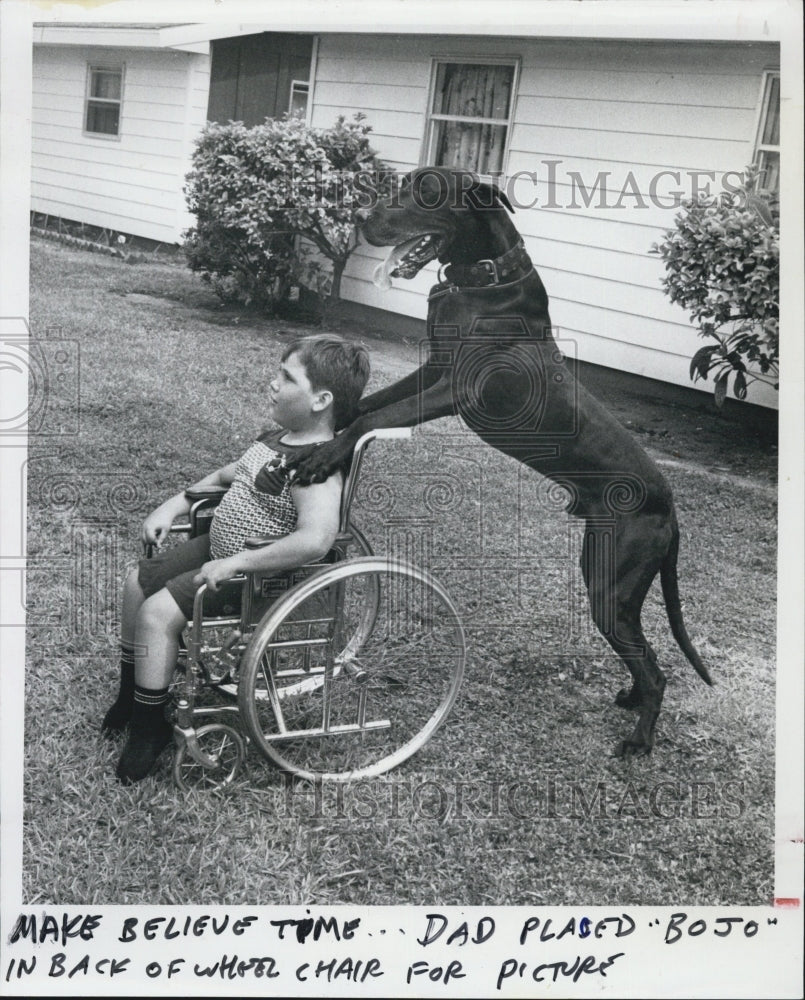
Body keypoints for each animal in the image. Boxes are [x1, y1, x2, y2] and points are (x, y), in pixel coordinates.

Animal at [288, 168, 708, 752]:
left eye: (425, 193)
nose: (360, 217)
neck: (478, 281)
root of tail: (670, 509)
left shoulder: (455, 390)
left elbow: (374, 417)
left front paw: (322, 453)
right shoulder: (431, 370)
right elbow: (370, 404)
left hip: (610, 583)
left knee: (655, 668)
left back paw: (640, 739)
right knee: (642, 656)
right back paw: (630, 700)